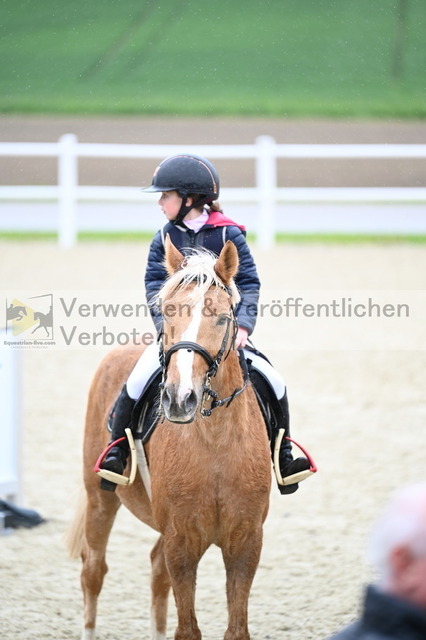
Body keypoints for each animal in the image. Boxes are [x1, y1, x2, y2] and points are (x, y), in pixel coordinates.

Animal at [66, 238, 272, 640]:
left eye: (222, 318)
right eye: (167, 311)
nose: (180, 398)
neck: (215, 443)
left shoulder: (245, 543)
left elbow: (236, 628)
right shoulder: (181, 543)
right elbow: (187, 628)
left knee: (155, 571)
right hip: (100, 497)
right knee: (93, 570)